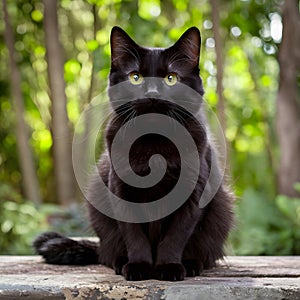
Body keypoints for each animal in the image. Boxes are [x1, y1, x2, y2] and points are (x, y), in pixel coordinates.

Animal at [33, 25, 234, 282]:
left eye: (171, 78)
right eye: (135, 77)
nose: (152, 93)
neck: (154, 143)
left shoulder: (193, 190)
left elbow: (176, 235)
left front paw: (169, 267)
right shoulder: (119, 188)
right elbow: (133, 234)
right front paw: (139, 266)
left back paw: (190, 264)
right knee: (108, 252)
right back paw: (121, 262)